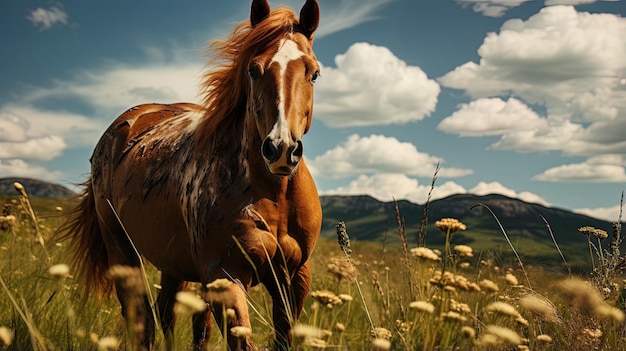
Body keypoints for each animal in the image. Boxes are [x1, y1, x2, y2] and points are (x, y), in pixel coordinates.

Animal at [58, 1, 320, 350]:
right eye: (253, 70)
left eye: (313, 73)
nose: (281, 149)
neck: (273, 196)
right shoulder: (226, 277)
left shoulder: (294, 280)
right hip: (121, 249)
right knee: (141, 318)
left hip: (174, 263)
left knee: (168, 314)